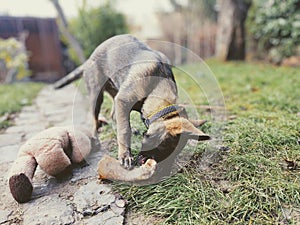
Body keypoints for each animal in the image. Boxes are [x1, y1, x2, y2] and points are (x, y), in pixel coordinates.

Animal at [54, 34, 209, 169]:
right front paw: (124, 155)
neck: (157, 85)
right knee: (94, 118)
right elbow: (124, 130)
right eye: (162, 146)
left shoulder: (122, 101)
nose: (150, 162)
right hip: (97, 95)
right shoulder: (123, 100)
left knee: (112, 115)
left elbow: (123, 123)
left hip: (115, 92)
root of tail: (90, 57)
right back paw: (95, 137)